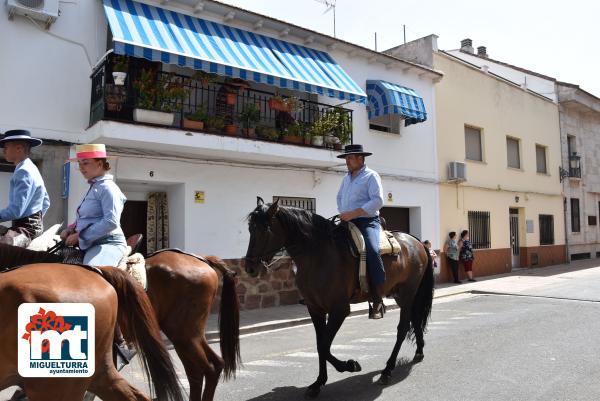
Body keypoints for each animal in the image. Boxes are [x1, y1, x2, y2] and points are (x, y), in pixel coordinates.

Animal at [246, 198, 434, 398]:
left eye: (265, 228)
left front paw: (349, 365)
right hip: (401, 294)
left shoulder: (339, 310)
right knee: (415, 319)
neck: (318, 255)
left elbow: (324, 346)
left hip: (407, 293)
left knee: (402, 328)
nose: (250, 267)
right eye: (250, 228)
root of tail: (417, 242)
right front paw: (318, 383)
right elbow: (320, 344)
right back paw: (419, 351)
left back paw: (388, 370)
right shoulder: (315, 309)